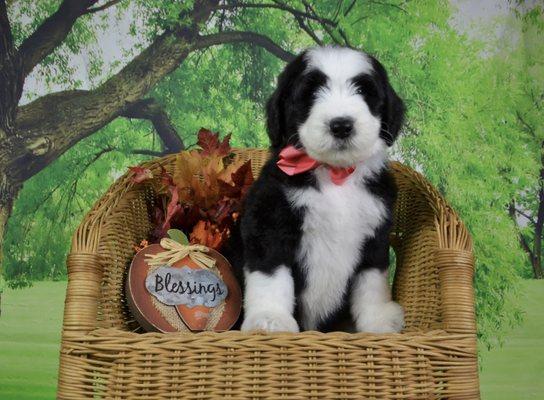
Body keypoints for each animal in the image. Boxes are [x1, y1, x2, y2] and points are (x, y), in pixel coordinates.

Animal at [234, 46, 404, 334]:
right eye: (311, 93)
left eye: (363, 91)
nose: (341, 125)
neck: (335, 175)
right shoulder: (269, 222)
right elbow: (271, 273)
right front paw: (270, 319)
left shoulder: (375, 231)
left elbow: (372, 279)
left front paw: (378, 321)